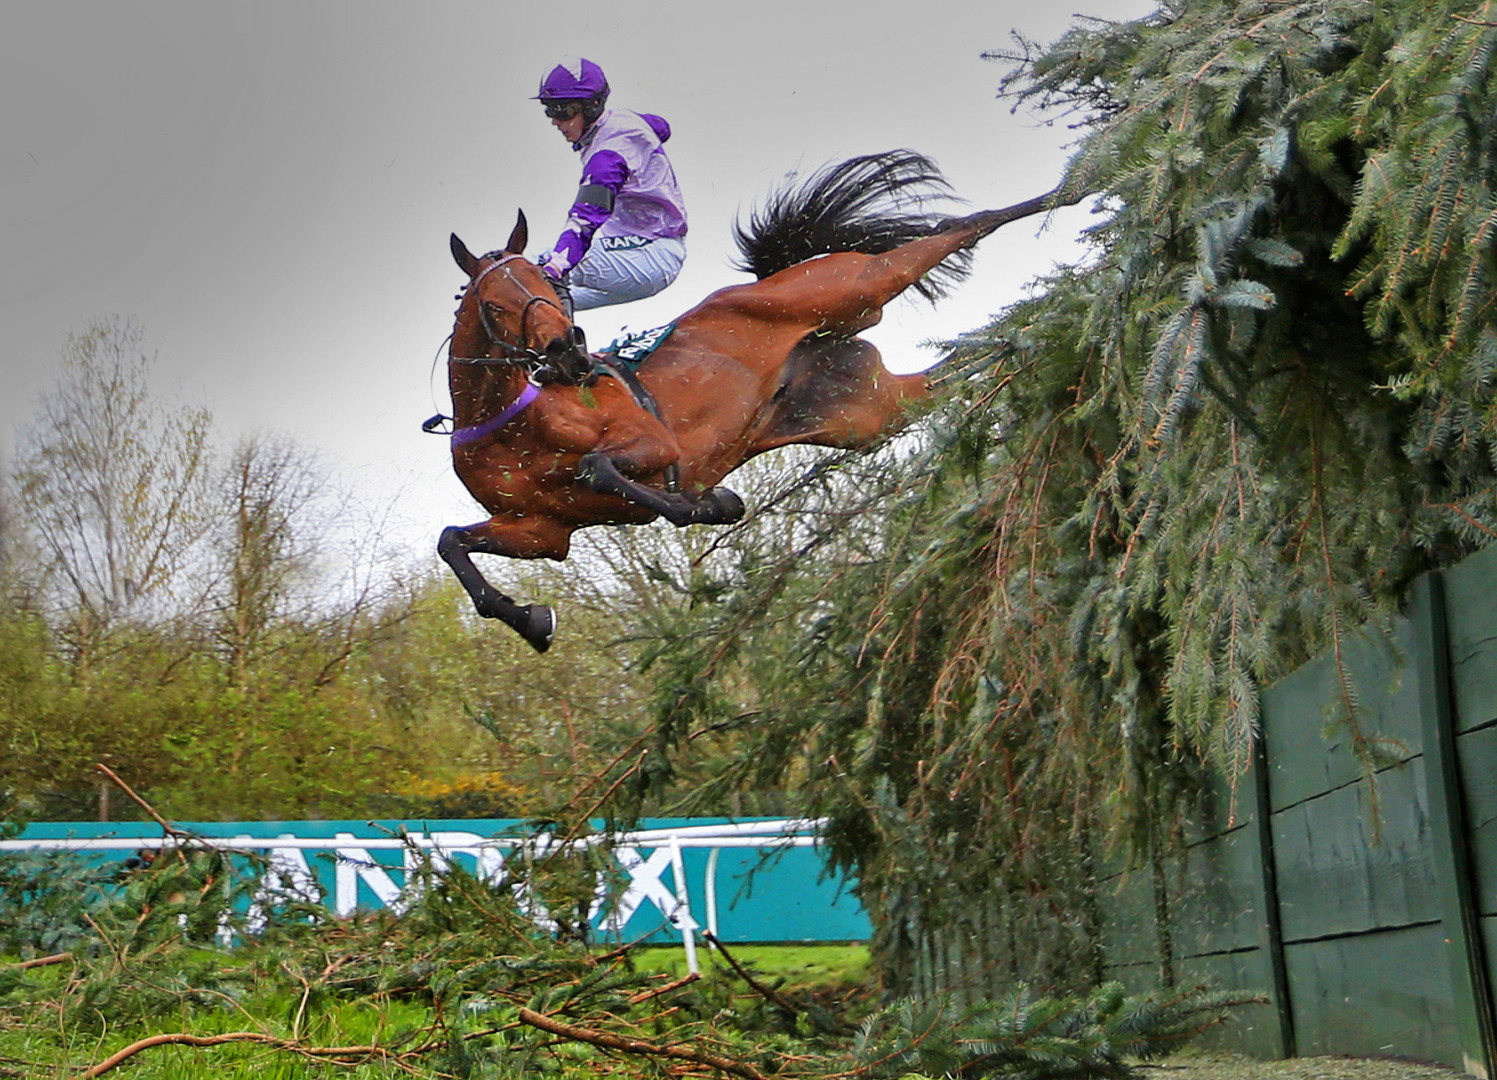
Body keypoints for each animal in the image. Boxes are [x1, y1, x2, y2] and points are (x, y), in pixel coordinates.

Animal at [438, 151, 1068, 652]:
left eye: (548, 285)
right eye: (494, 305)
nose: (568, 354)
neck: (508, 423)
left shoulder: (650, 442)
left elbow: (600, 468)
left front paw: (714, 503)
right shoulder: (542, 530)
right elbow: (453, 544)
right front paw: (531, 620)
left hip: (854, 284)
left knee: (959, 226)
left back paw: (1075, 188)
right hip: (862, 412)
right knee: (945, 378)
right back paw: (1022, 343)